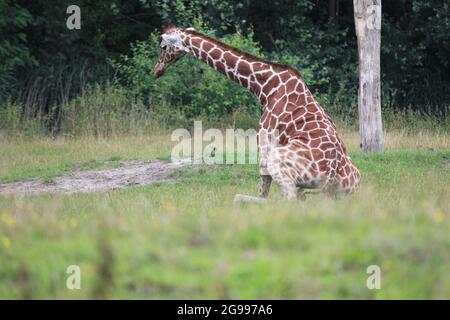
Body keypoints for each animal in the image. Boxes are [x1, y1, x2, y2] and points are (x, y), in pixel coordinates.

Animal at [153, 20, 360, 198]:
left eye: (163, 46)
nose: (156, 71)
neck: (265, 87)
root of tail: (331, 174)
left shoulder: (265, 144)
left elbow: (263, 192)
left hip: (279, 161)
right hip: (351, 182)